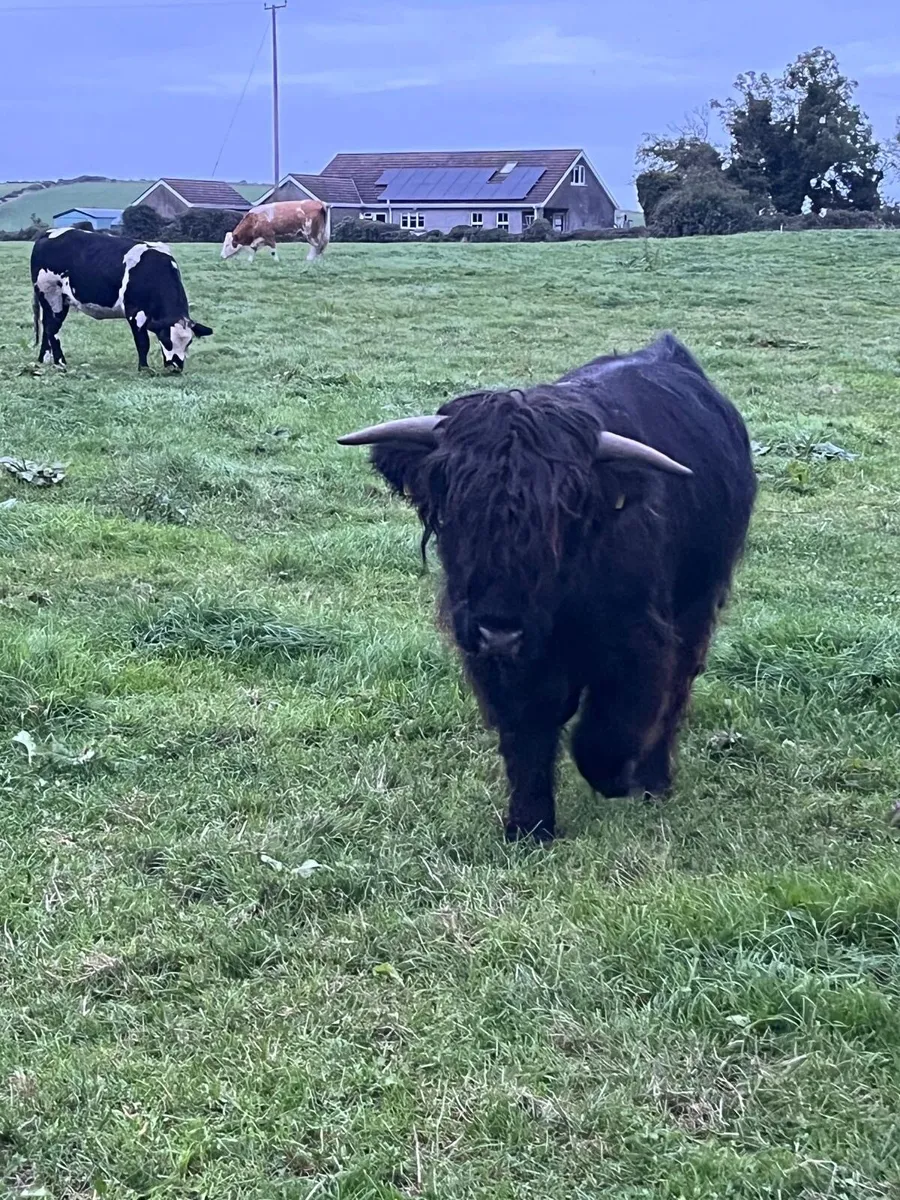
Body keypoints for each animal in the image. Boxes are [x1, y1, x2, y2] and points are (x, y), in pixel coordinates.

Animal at [31, 228, 212, 372]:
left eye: (189, 342)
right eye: (166, 340)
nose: (176, 367)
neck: (153, 272)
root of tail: (48, 233)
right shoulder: (135, 312)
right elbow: (143, 342)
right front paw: (144, 368)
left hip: (57, 301)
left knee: (47, 326)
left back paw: (43, 359)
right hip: (52, 296)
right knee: (52, 330)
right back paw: (60, 362)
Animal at [338, 334, 757, 842]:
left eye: (561, 516)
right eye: (455, 512)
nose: (499, 630)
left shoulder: (639, 639)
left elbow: (610, 730)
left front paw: (617, 781)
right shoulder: (500, 660)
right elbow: (528, 732)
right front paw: (529, 826)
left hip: (698, 602)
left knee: (677, 687)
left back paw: (654, 780)